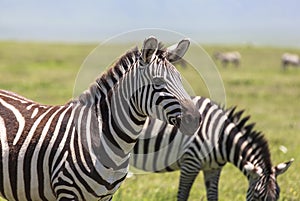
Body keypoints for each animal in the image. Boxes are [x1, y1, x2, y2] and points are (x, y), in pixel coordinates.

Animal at [129, 96, 292, 201]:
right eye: (258, 196)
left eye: (277, 196)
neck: (220, 138)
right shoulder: (190, 164)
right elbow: (182, 196)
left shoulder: (213, 168)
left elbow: (213, 197)